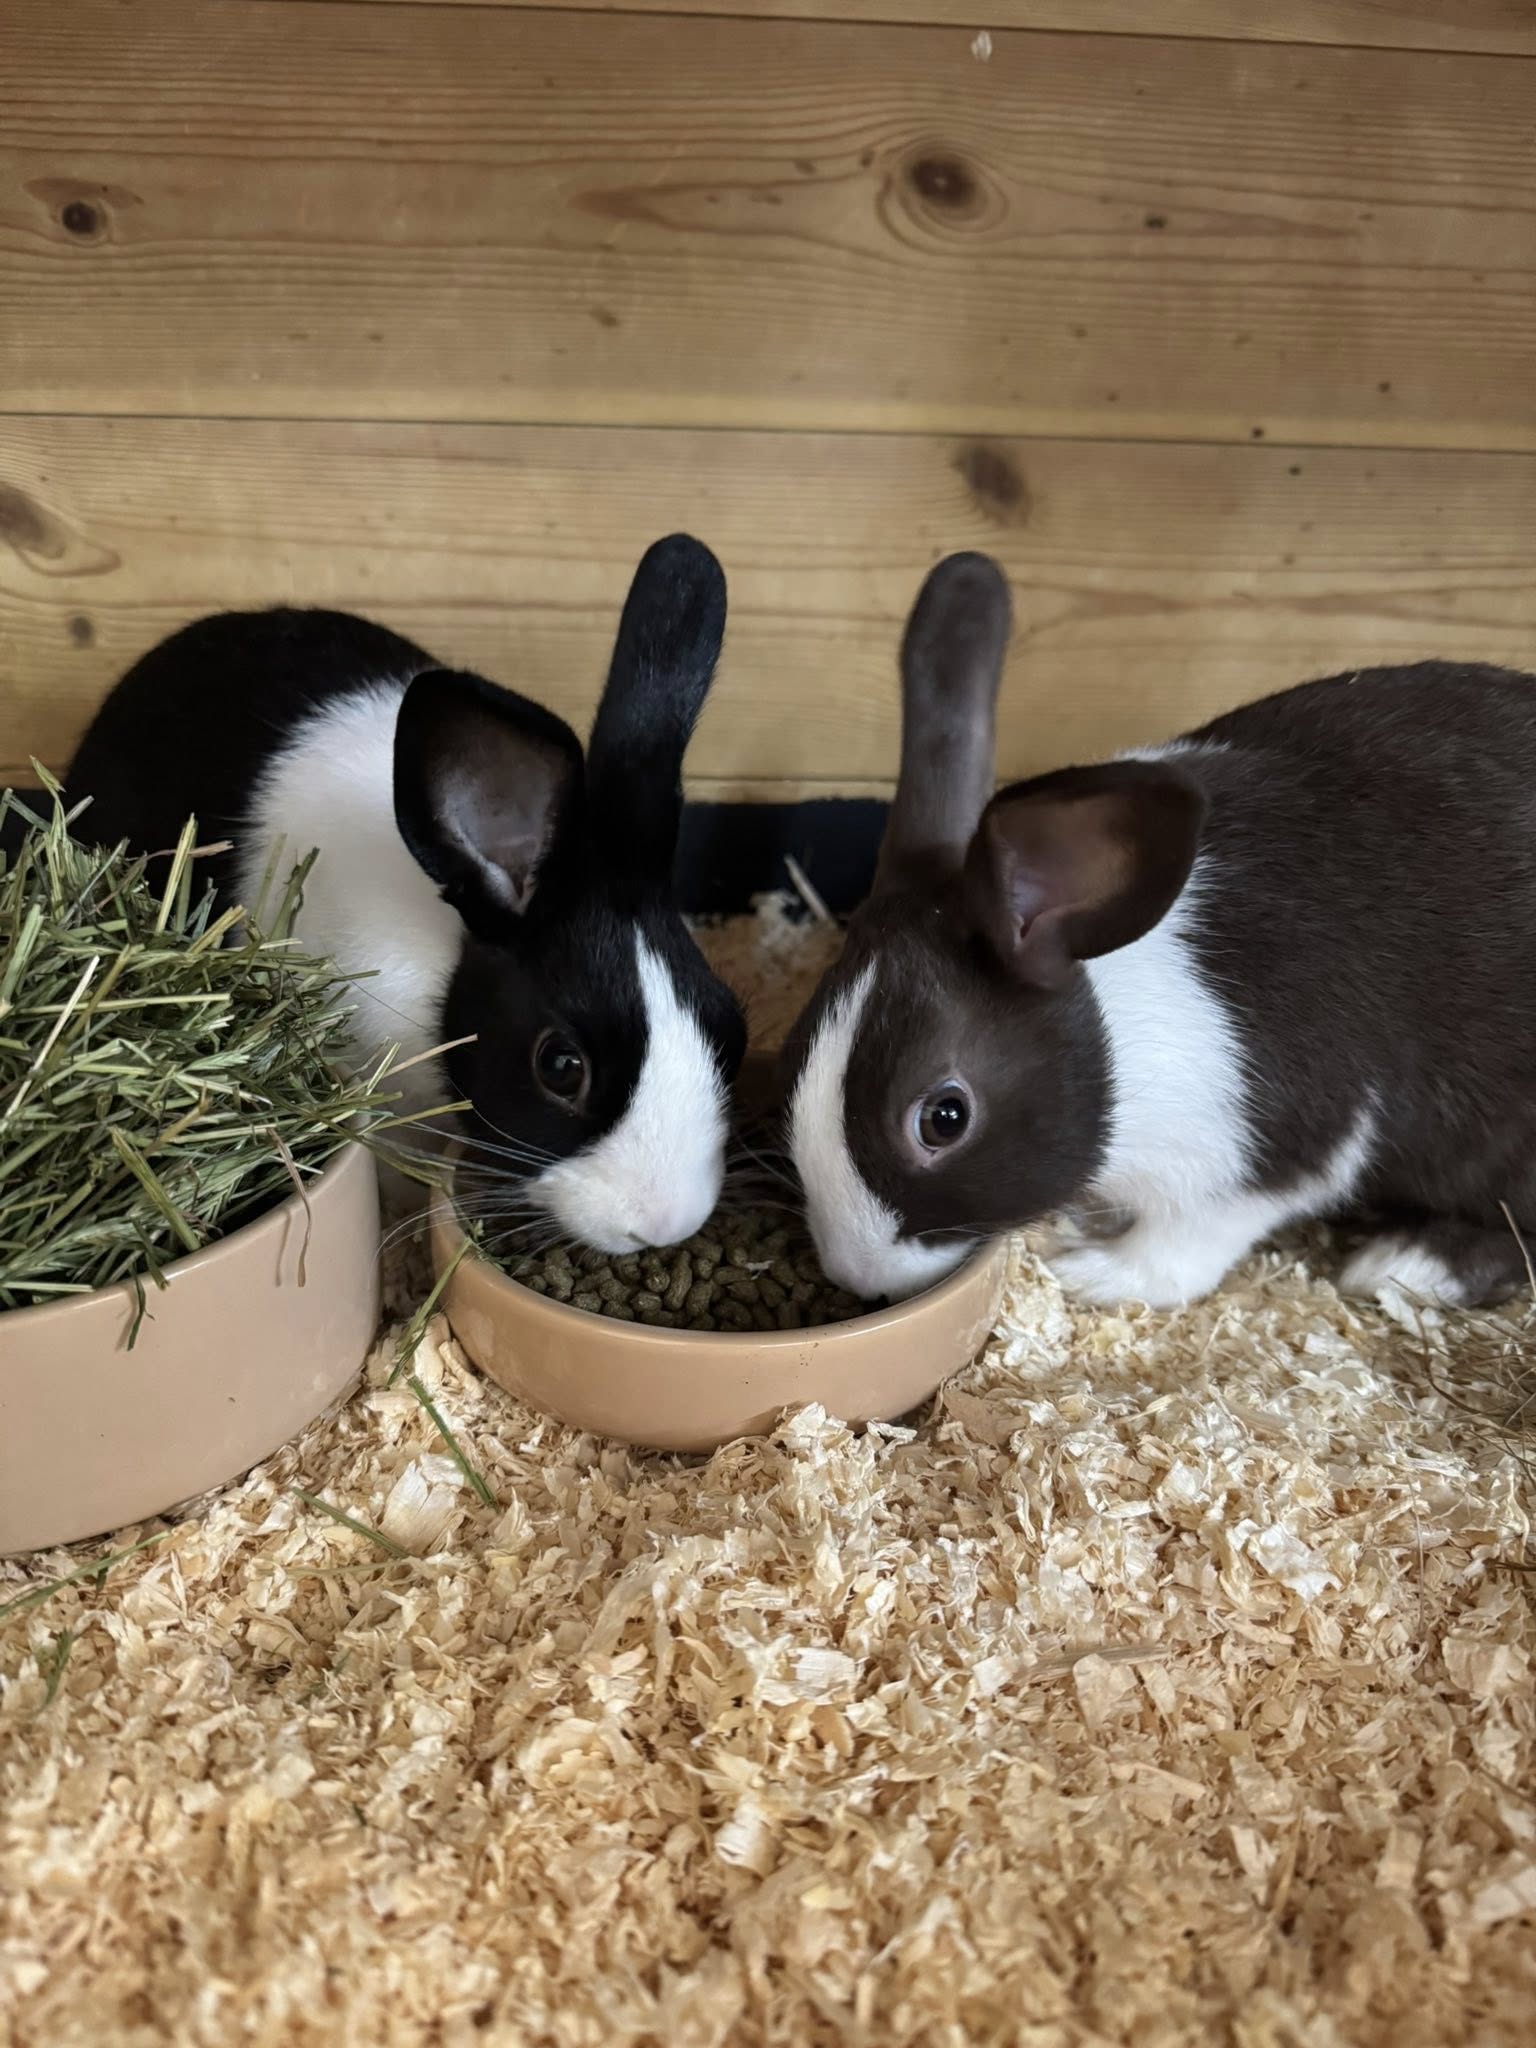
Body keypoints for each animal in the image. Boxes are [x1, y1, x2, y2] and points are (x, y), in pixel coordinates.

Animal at [782, 549, 1536, 1313]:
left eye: (943, 1118)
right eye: (792, 1051)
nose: (857, 1275)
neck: (1121, 1024)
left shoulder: (1265, 1156)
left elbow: (1181, 1248)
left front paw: (1088, 1270)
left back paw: (1405, 1265)